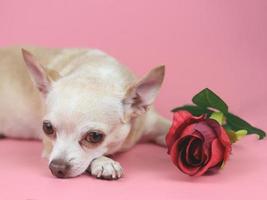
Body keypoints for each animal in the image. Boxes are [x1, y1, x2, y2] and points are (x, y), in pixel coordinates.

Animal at [0, 47, 171, 180]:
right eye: (47, 128)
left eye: (94, 136)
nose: (57, 167)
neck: (96, 72)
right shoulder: (49, 148)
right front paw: (104, 162)